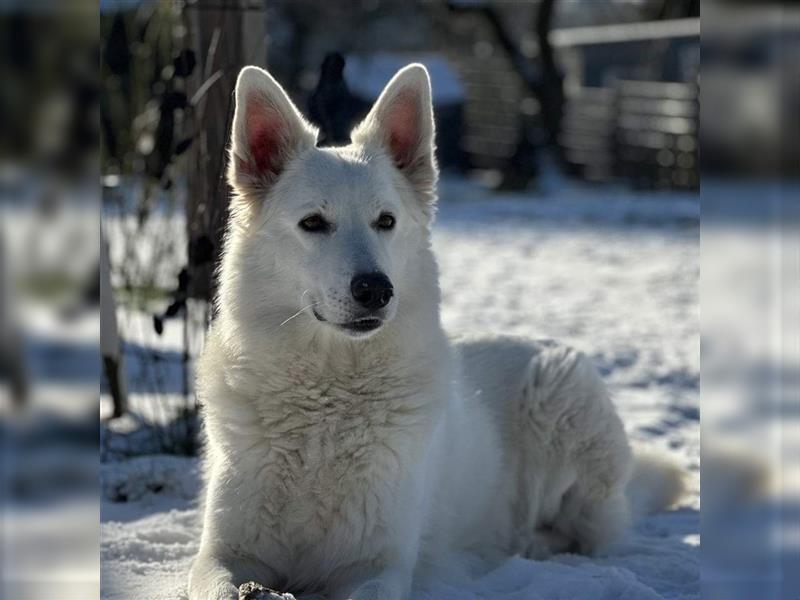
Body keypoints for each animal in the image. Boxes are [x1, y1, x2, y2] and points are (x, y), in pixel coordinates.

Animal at [188, 64, 680, 600]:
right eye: (313, 223)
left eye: (386, 221)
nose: (376, 289)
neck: (327, 398)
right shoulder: (222, 554)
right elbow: (222, 585)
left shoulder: (378, 565)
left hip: (560, 400)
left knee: (593, 531)